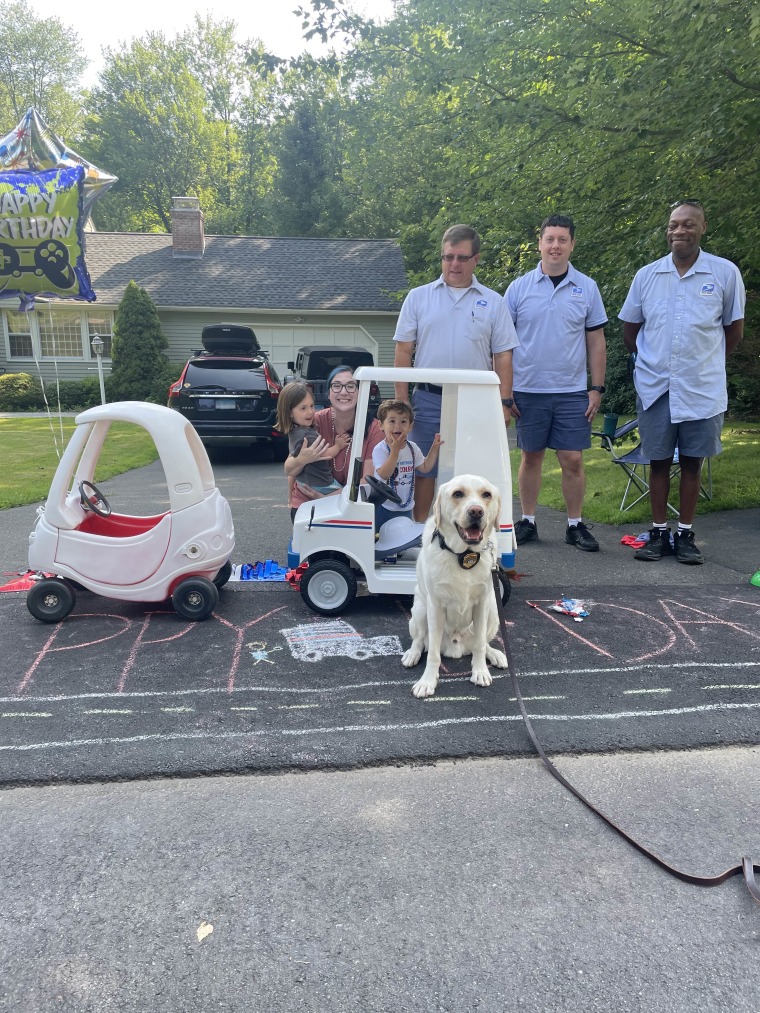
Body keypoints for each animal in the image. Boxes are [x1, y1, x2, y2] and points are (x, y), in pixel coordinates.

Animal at [405, 474, 506, 696]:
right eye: (458, 494)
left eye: (487, 495)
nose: (476, 511)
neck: (464, 555)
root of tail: (456, 647)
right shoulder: (435, 606)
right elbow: (433, 653)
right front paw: (427, 681)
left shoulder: (482, 603)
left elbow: (480, 646)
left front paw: (480, 671)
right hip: (420, 610)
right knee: (419, 640)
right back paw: (412, 654)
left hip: (493, 611)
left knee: (483, 643)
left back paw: (495, 654)